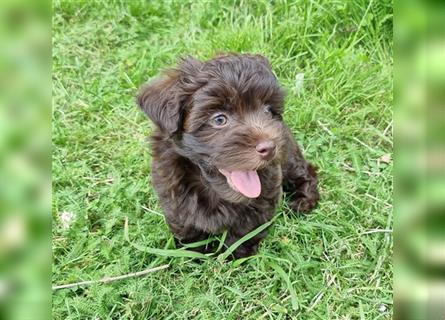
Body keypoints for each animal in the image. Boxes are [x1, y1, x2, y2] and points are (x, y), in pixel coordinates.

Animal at [136, 52, 320, 258]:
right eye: (219, 120)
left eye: (268, 111)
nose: (270, 147)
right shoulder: (171, 191)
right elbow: (184, 223)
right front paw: (194, 253)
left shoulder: (266, 193)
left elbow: (246, 230)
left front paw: (235, 255)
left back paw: (304, 201)